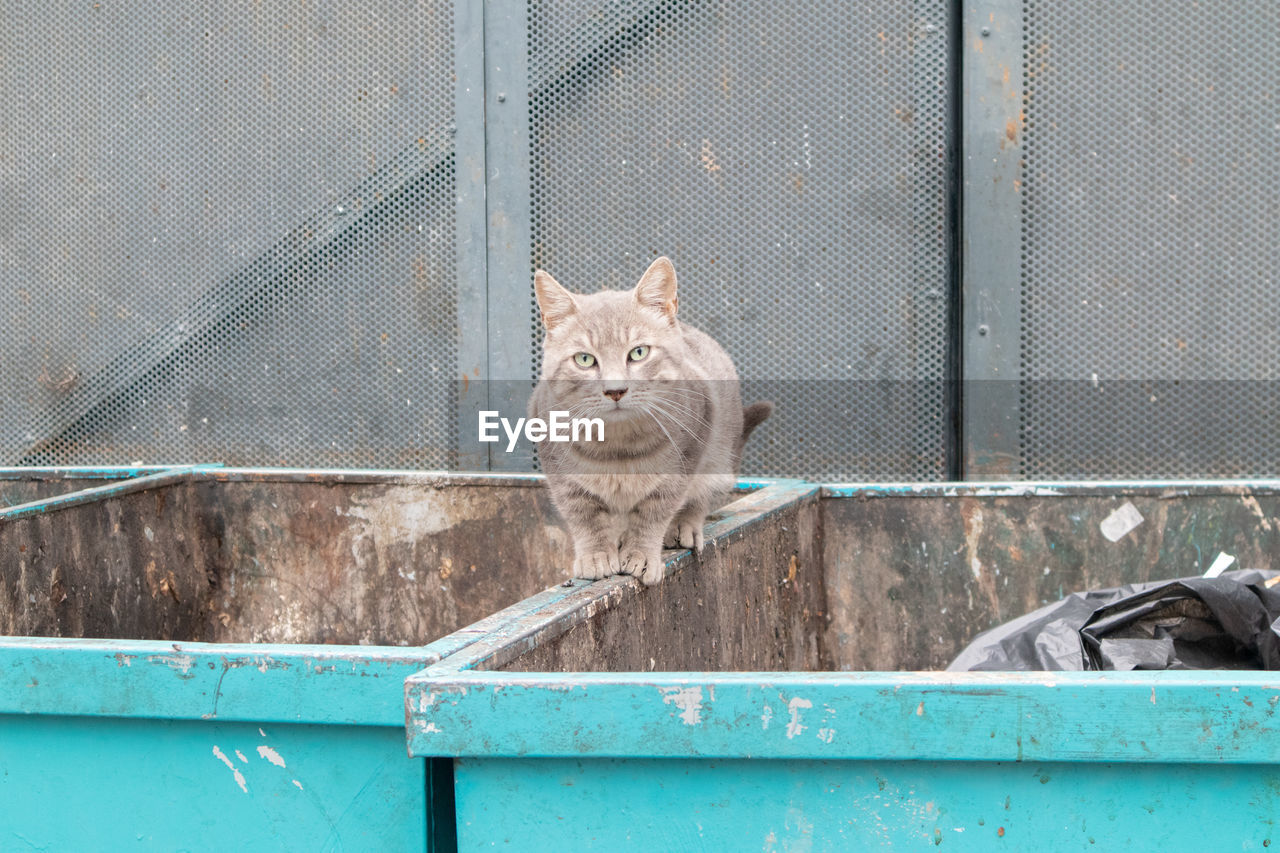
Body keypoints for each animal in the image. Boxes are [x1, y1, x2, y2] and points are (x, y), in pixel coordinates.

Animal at [527, 253, 768, 584]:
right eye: (584, 359)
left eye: (638, 353)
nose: (615, 390)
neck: (617, 446)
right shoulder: (561, 473)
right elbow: (584, 516)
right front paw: (595, 555)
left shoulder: (684, 461)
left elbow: (654, 513)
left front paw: (642, 553)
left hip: (720, 455)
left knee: (700, 498)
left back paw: (683, 526)